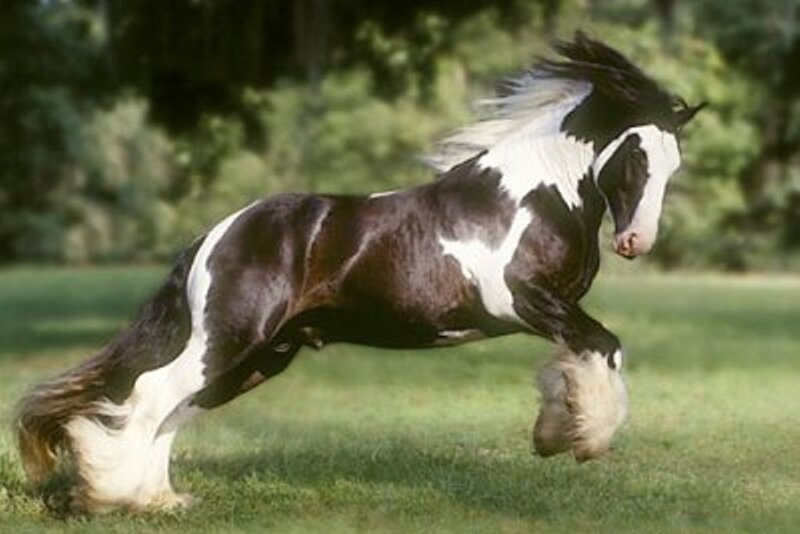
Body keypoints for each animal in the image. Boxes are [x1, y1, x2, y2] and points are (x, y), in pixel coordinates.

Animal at [17, 32, 704, 512]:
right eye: (636, 154)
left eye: (673, 162)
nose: (636, 242)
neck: (530, 195)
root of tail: (216, 235)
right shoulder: (520, 300)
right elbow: (606, 347)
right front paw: (581, 439)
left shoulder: (551, 313)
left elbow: (582, 358)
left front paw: (556, 432)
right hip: (229, 341)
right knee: (149, 396)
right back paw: (116, 499)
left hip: (260, 355)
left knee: (173, 410)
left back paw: (159, 501)